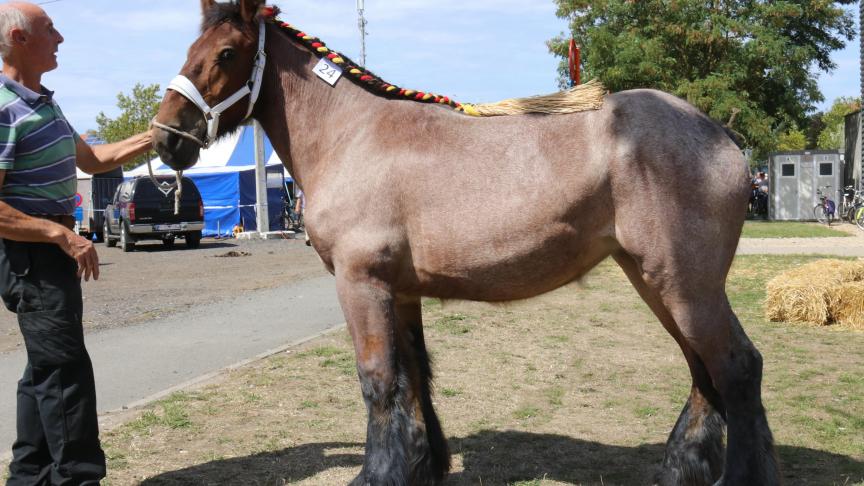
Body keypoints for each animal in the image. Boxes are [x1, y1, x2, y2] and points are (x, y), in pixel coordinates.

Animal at [152, 1, 780, 484]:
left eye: (226, 54)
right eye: (191, 49)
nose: (167, 138)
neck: (352, 136)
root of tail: (720, 135)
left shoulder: (361, 283)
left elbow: (378, 381)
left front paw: (377, 473)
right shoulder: (401, 291)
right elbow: (414, 377)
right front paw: (420, 466)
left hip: (684, 284)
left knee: (737, 367)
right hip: (657, 280)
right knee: (704, 370)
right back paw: (681, 467)